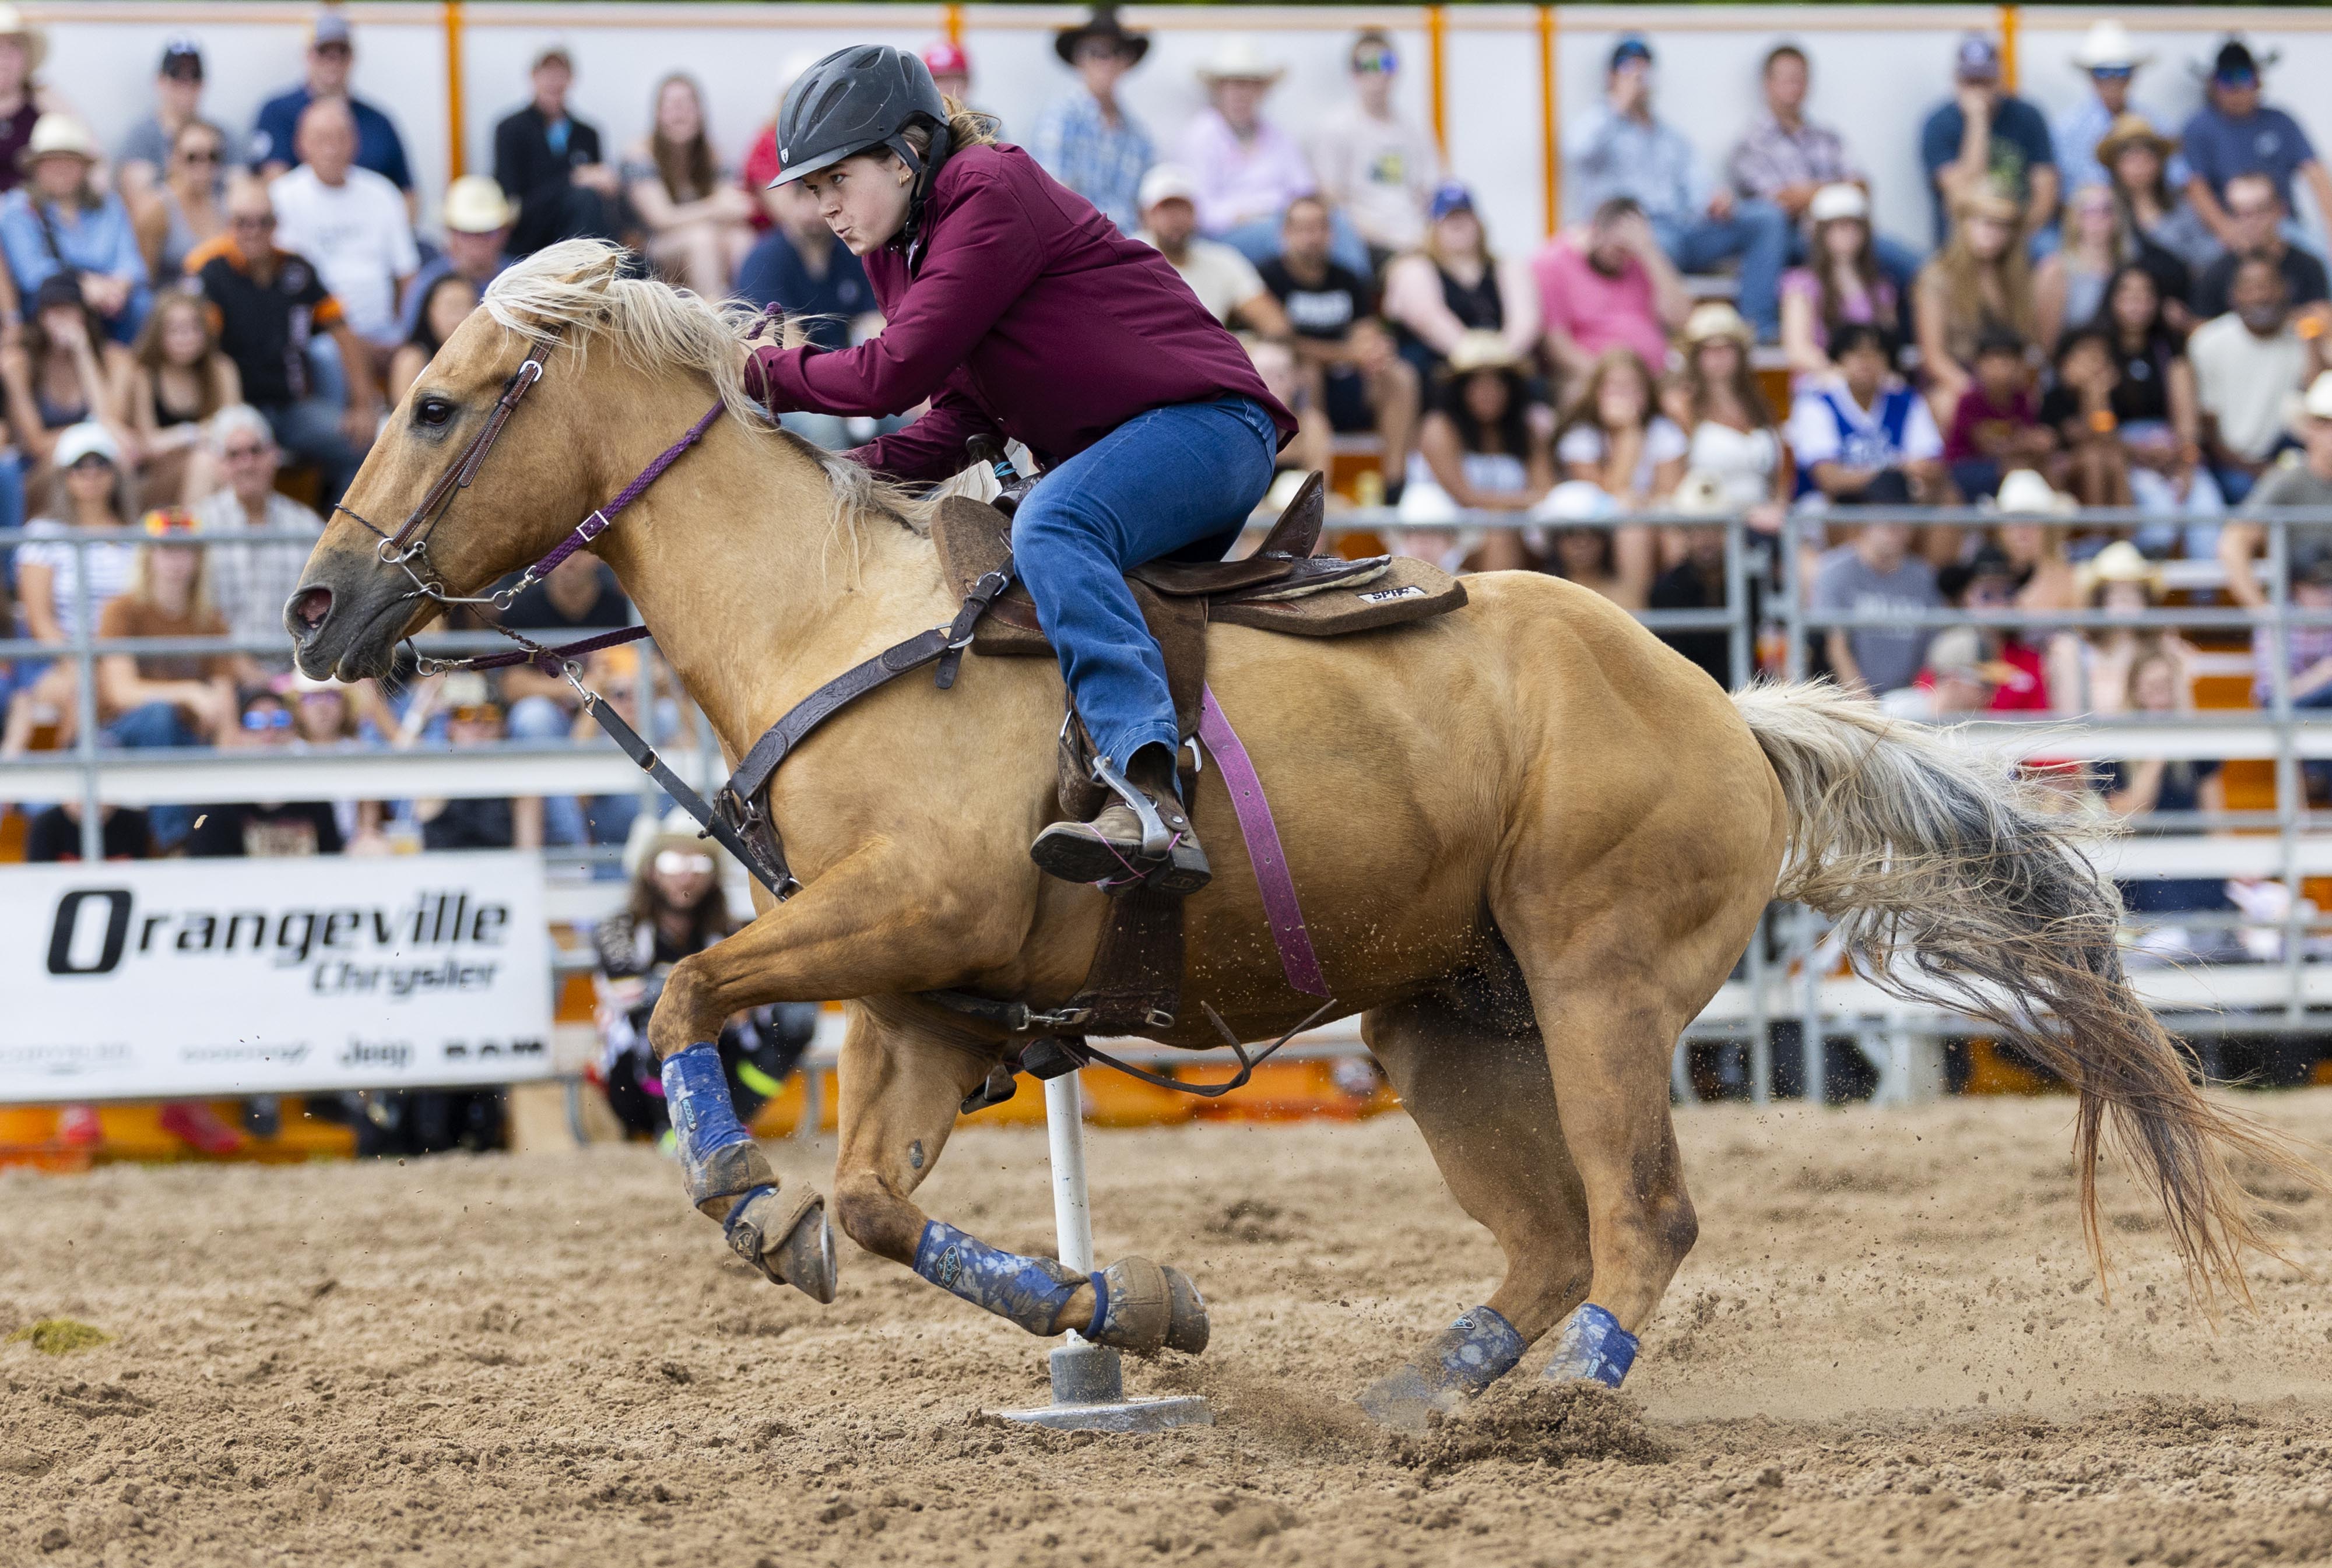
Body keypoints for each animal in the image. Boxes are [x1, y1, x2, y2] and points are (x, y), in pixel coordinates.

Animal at [292, 241, 2295, 1418]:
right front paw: (1123, 1304)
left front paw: (734, 1190)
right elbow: (864, 1197)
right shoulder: (921, 992)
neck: (835, 615)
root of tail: (1723, 709)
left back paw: (1574, 1401)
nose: (316, 609)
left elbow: (686, 990)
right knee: (1546, 1234)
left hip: (1598, 982)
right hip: (1446, 1014)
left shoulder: (898, 914)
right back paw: (1430, 1391)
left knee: (1636, 1211)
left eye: (438, 403)